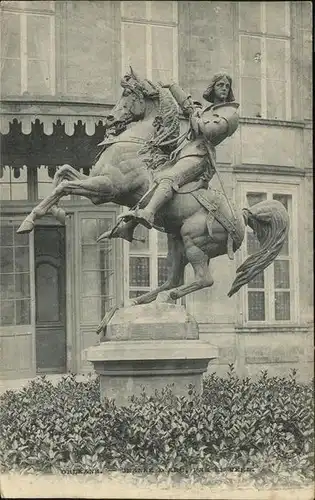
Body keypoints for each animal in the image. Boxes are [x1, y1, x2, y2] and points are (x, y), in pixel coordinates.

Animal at [17, 69, 292, 324]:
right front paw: (57, 213)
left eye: (128, 94)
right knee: (173, 278)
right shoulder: (97, 184)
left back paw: (161, 296)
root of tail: (243, 214)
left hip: (193, 240)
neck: (135, 145)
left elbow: (63, 186)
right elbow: (62, 174)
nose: (110, 118)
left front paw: (29, 221)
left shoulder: (107, 188)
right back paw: (139, 299)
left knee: (203, 279)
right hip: (175, 242)